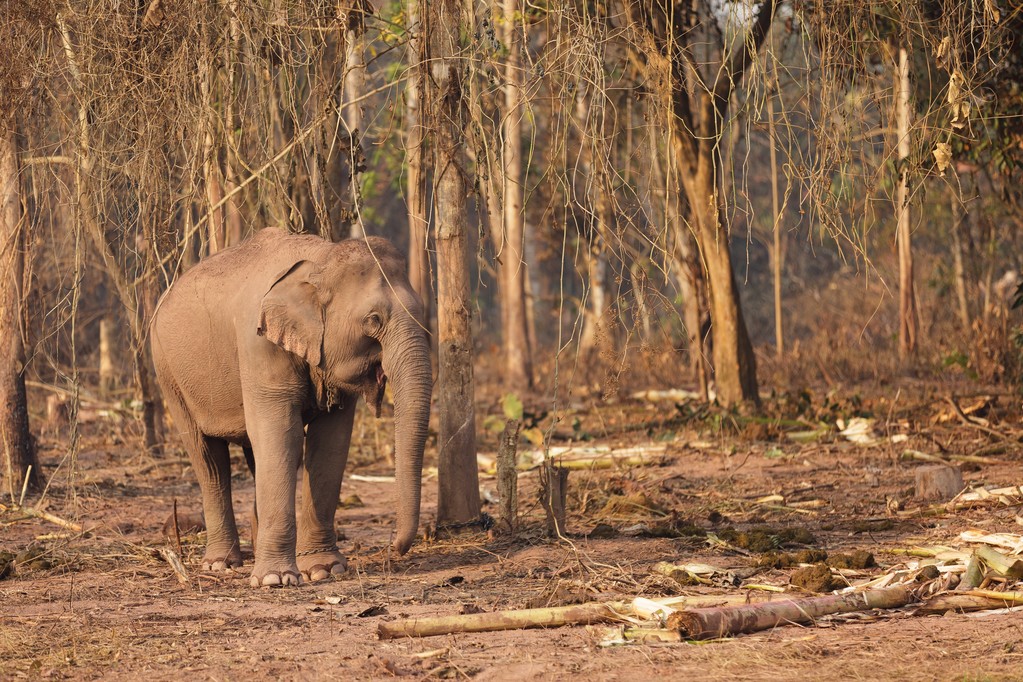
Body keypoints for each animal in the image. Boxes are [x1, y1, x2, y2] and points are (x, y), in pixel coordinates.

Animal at [149, 228, 429, 588]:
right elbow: (282, 434)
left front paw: (324, 569)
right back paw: (220, 564)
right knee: (208, 457)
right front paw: (276, 579)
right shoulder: (258, 345)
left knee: (254, 455)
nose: (396, 547)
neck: (321, 259)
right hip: (169, 374)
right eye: (373, 320)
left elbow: (329, 443)